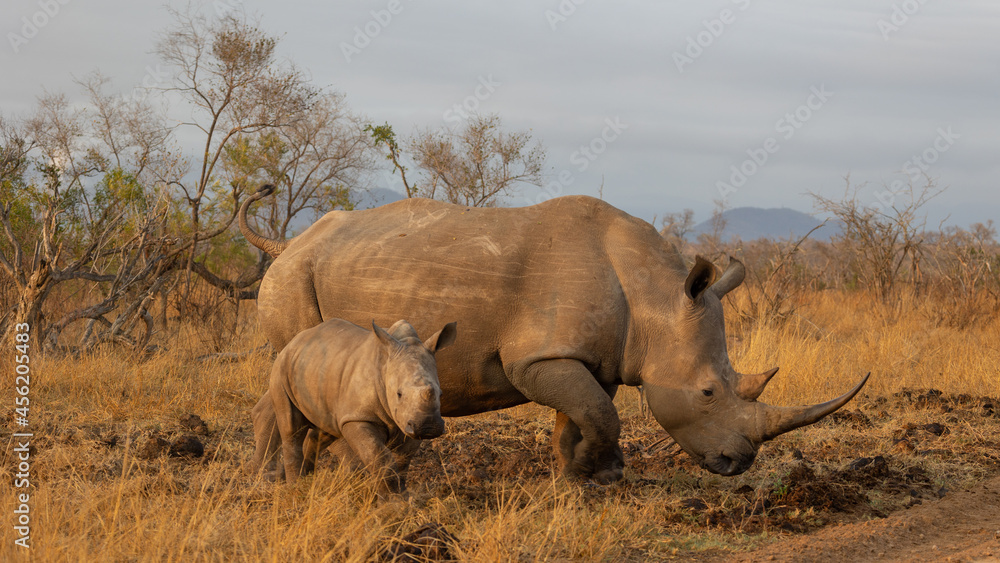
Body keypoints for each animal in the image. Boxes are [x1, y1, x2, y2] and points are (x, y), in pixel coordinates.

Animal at [260, 317, 456, 493]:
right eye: (399, 394)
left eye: (441, 394)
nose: (429, 427)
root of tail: (295, 340)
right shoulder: (358, 417)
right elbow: (380, 458)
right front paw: (392, 503)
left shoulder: (410, 420)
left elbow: (402, 462)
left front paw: (402, 497)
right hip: (281, 368)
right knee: (291, 428)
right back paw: (296, 488)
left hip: (319, 370)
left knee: (325, 429)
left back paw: (307, 479)